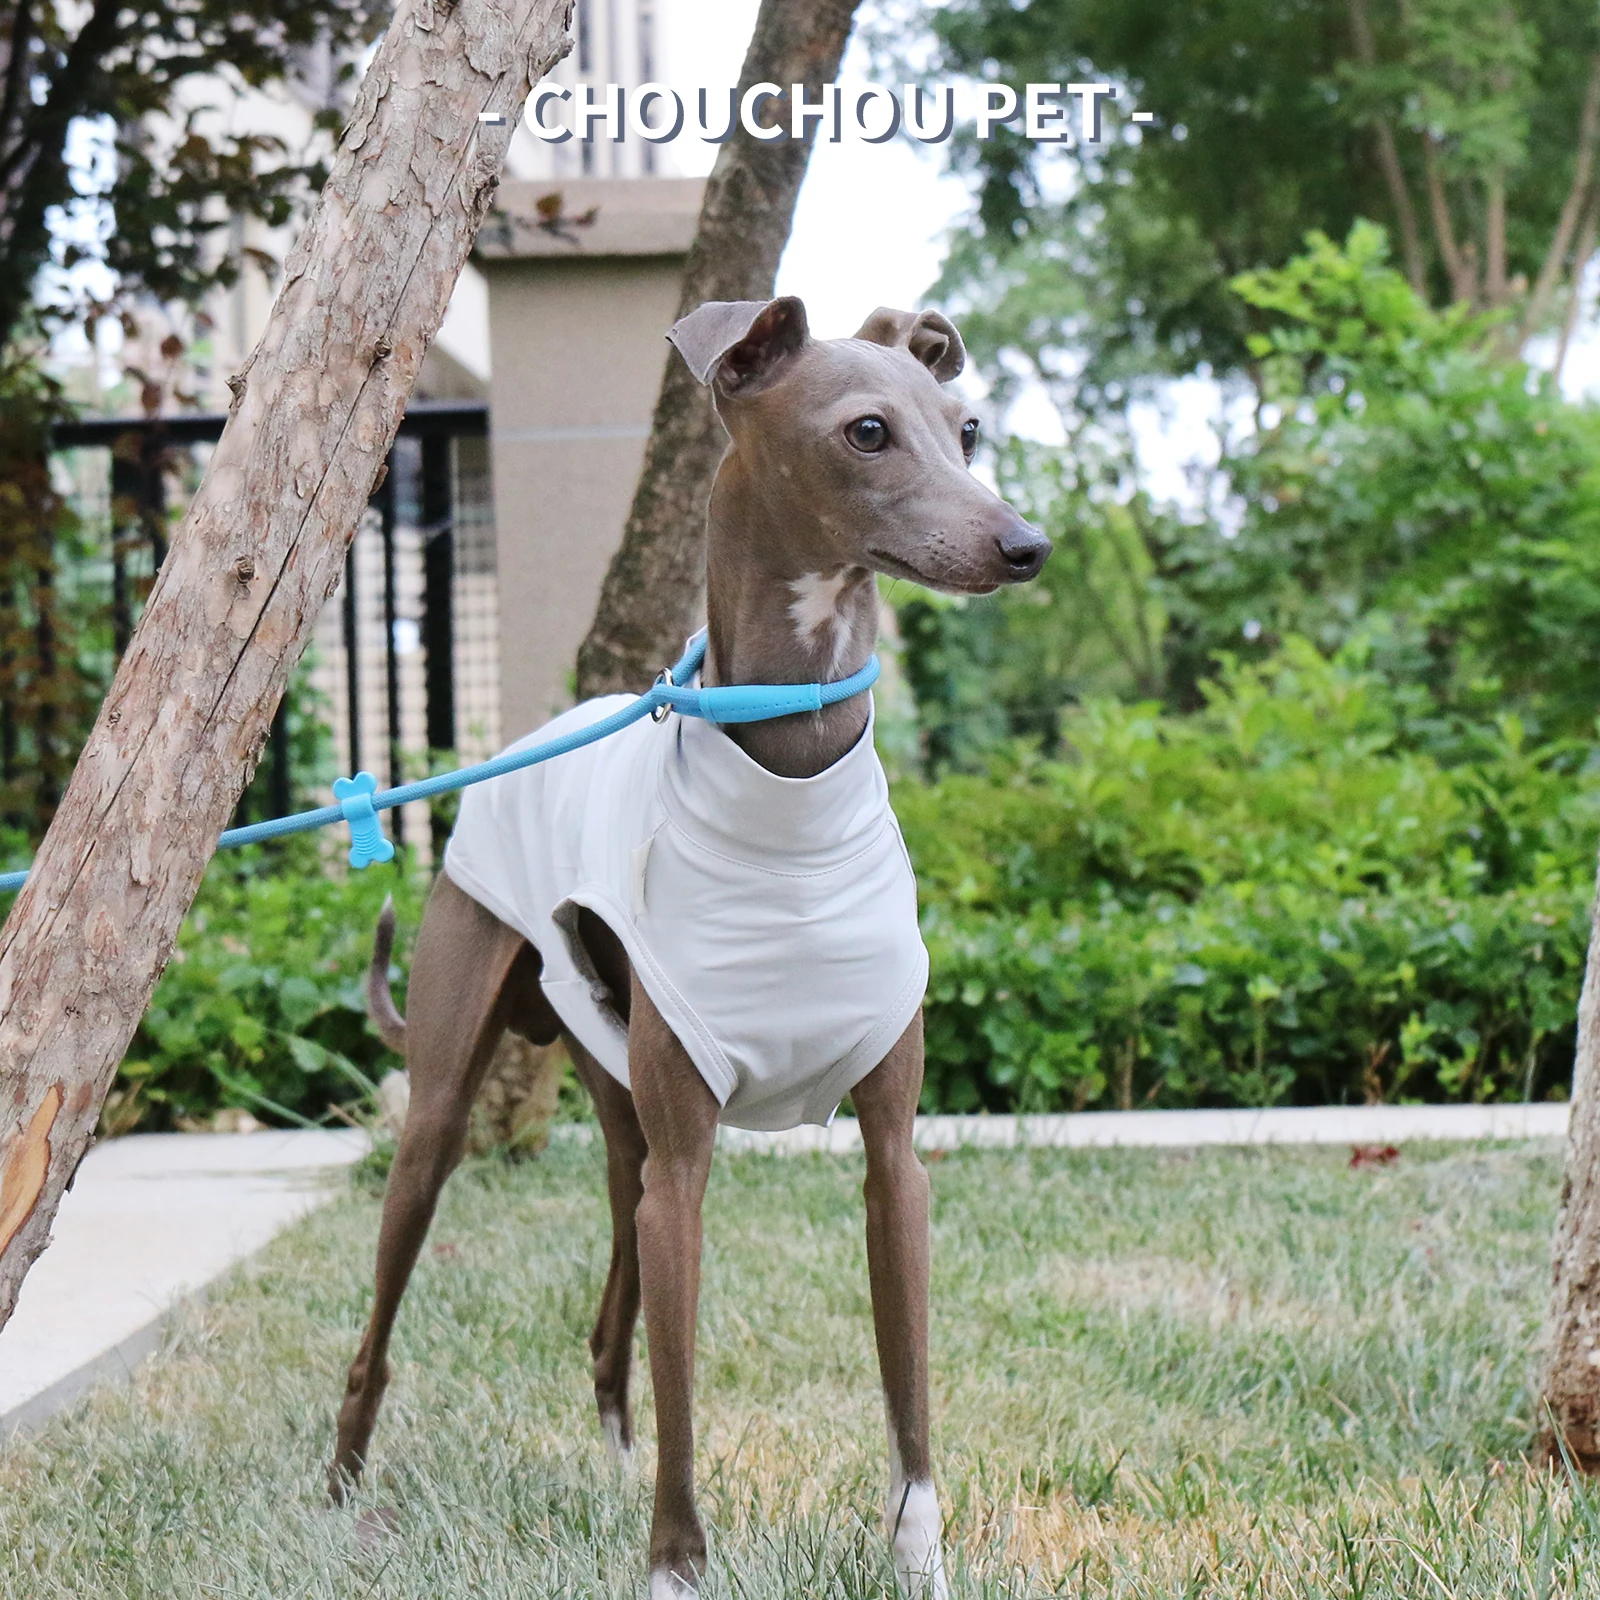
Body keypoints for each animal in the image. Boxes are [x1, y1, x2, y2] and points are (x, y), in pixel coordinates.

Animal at [328, 294, 1049, 1593]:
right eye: (868, 430)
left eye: (964, 427)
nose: (1026, 546)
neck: (791, 773)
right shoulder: (690, 1169)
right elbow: (686, 1408)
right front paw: (673, 1562)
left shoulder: (894, 1159)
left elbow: (909, 1397)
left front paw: (918, 1555)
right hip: (446, 1106)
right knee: (389, 1312)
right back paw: (341, 1490)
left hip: (618, 1103)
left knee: (612, 1290)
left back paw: (602, 1453)